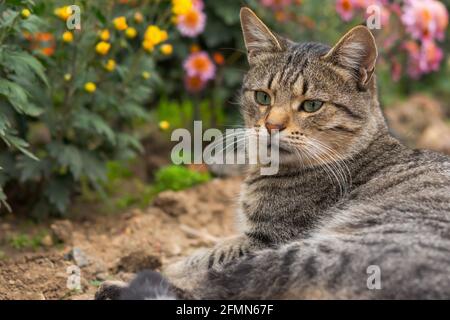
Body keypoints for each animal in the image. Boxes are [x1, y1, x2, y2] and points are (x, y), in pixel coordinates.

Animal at [96, 6, 450, 298]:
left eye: (311, 105)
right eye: (263, 97)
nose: (271, 125)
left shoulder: (265, 239)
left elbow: (205, 257)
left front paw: (169, 266)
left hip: (317, 253)